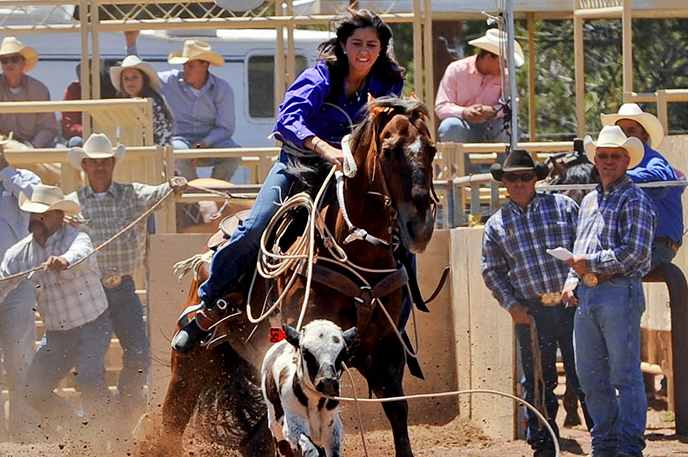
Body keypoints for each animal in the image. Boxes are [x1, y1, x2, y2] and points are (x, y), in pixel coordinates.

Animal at [260, 318, 358, 454]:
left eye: (342, 353)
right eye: (305, 352)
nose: (328, 382)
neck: (314, 403)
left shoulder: (333, 430)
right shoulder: (293, 426)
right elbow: (311, 449)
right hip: (276, 427)